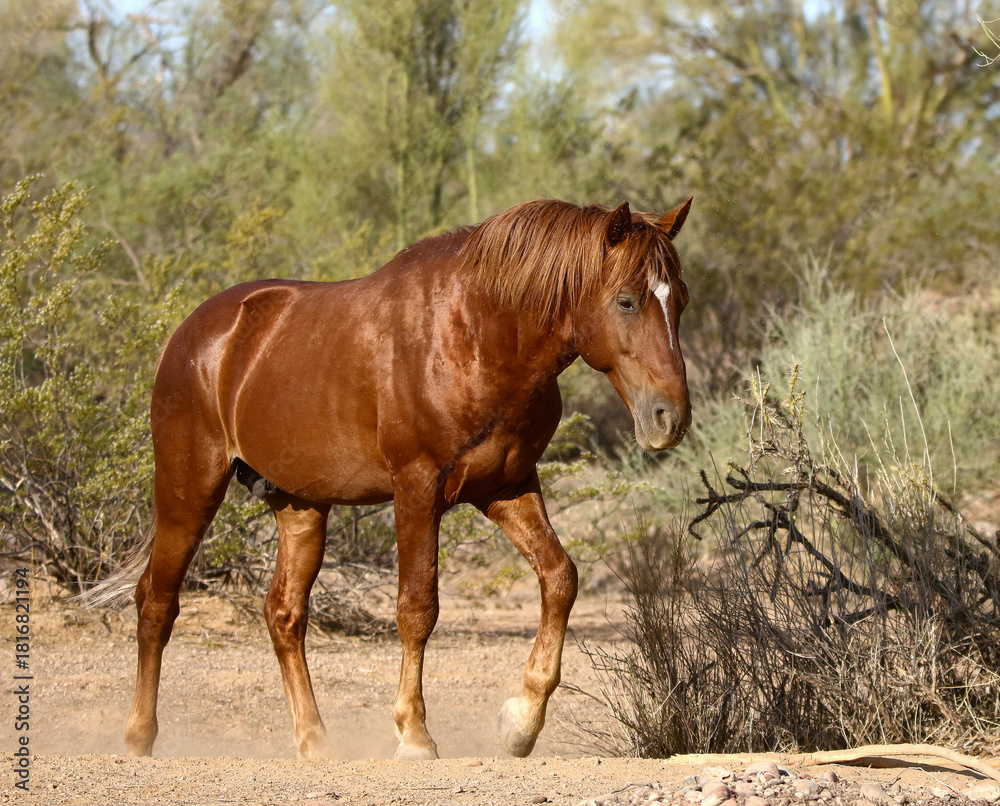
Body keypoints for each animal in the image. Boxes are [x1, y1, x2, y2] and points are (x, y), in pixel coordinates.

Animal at [88, 196, 693, 761]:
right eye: (626, 300)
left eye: (680, 300)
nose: (671, 418)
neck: (478, 334)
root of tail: (194, 334)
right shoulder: (417, 490)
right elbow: (417, 609)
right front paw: (414, 734)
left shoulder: (507, 487)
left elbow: (560, 578)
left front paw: (521, 722)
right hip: (189, 491)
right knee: (157, 602)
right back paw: (140, 736)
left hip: (299, 505)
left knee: (283, 613)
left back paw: (314, 740)